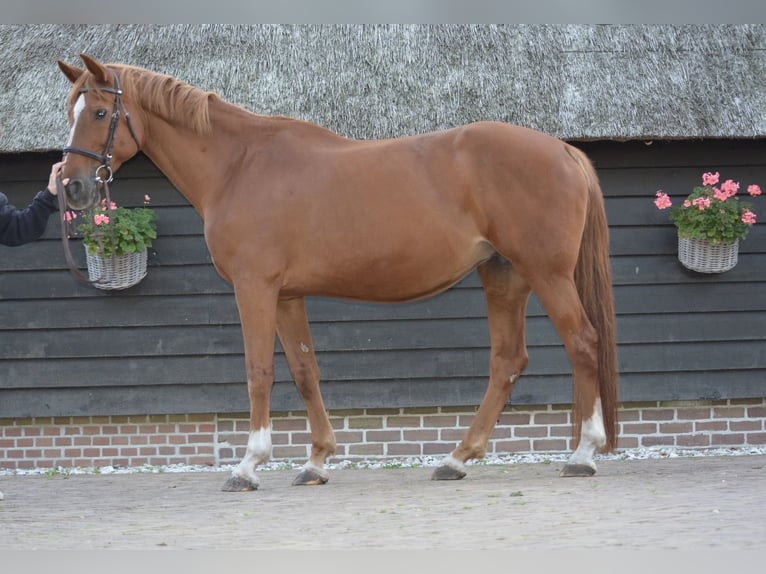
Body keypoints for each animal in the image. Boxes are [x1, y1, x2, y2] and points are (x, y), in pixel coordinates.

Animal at [58, 54, 616, 492]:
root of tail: (563, 149)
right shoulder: (287, 295)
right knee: (507, 361)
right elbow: (305, 371)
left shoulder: (254, 288)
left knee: (582, 342)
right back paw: (456, 459)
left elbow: (259, 371)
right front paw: (316, 462)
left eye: (101, 112)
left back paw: (582, 455)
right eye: (71, 111)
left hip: (546, 274)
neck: (239, 165)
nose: (73, 187)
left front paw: (248, 466)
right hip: (504, 276)